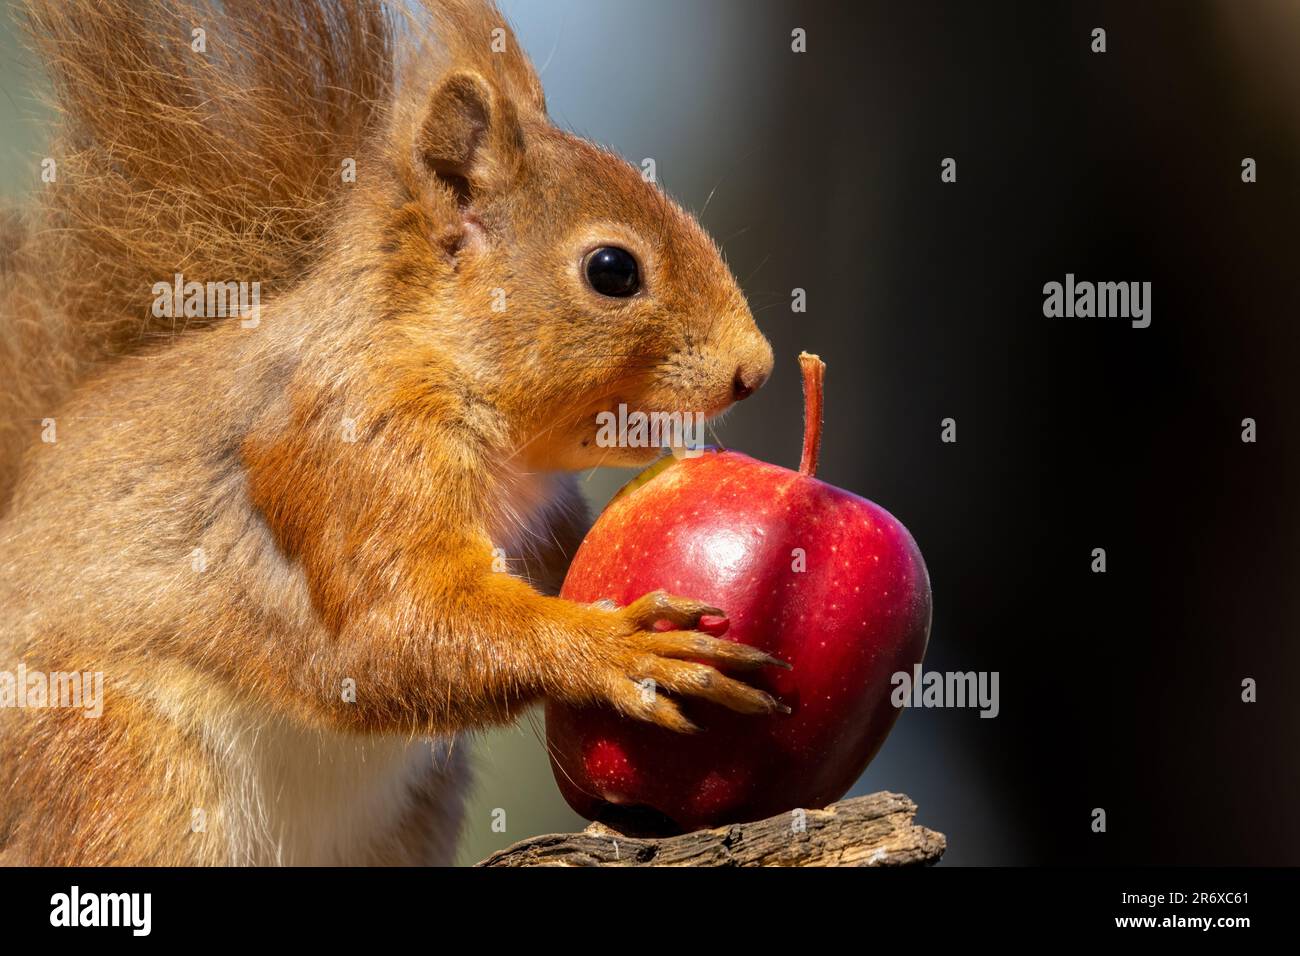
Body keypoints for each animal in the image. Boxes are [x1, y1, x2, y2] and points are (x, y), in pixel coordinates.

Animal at [0, 0, 777, 865]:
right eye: (613, 270)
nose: (756, 369)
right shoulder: (350, 446)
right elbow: (393, 630)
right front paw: (619, 649)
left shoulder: (543, 513)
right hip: (118, 770)